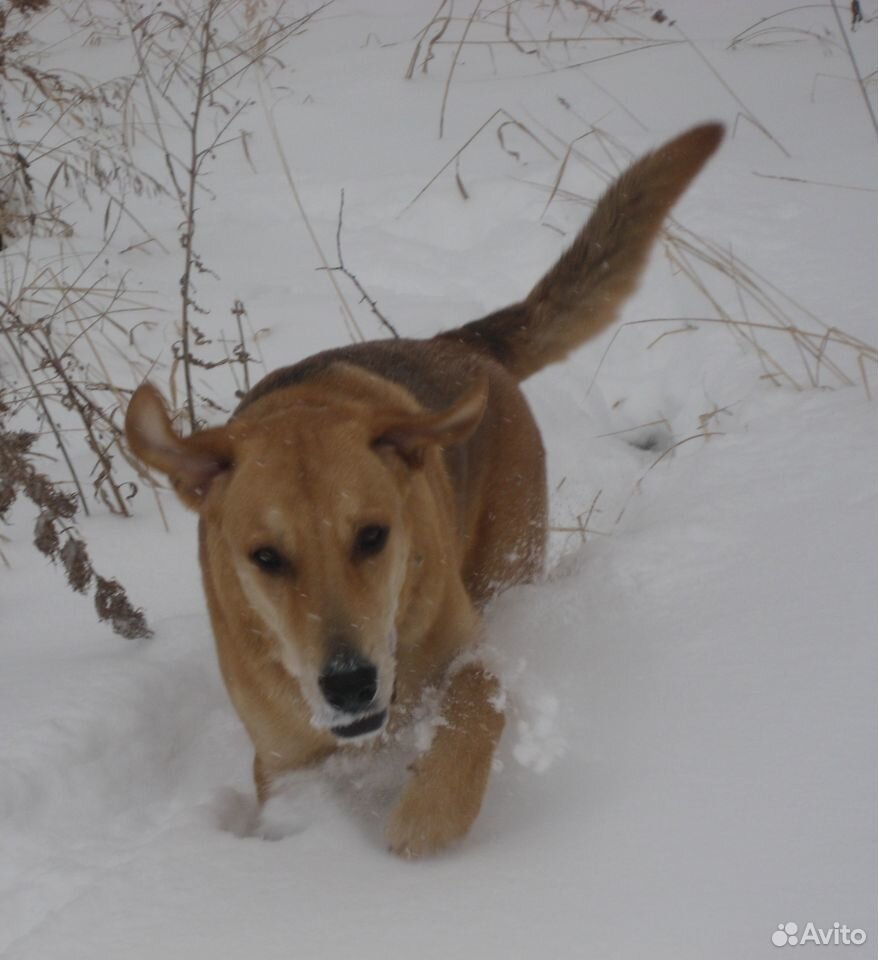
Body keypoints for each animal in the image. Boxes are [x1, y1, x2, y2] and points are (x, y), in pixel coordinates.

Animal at [127, 124, 724, 860]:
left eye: (372, 536)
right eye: (265, 557)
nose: (349, 683)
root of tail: (460, 342)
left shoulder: (467, 651)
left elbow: (475, 703)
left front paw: (426, 819)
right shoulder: (282, 760)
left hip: (507, 567)